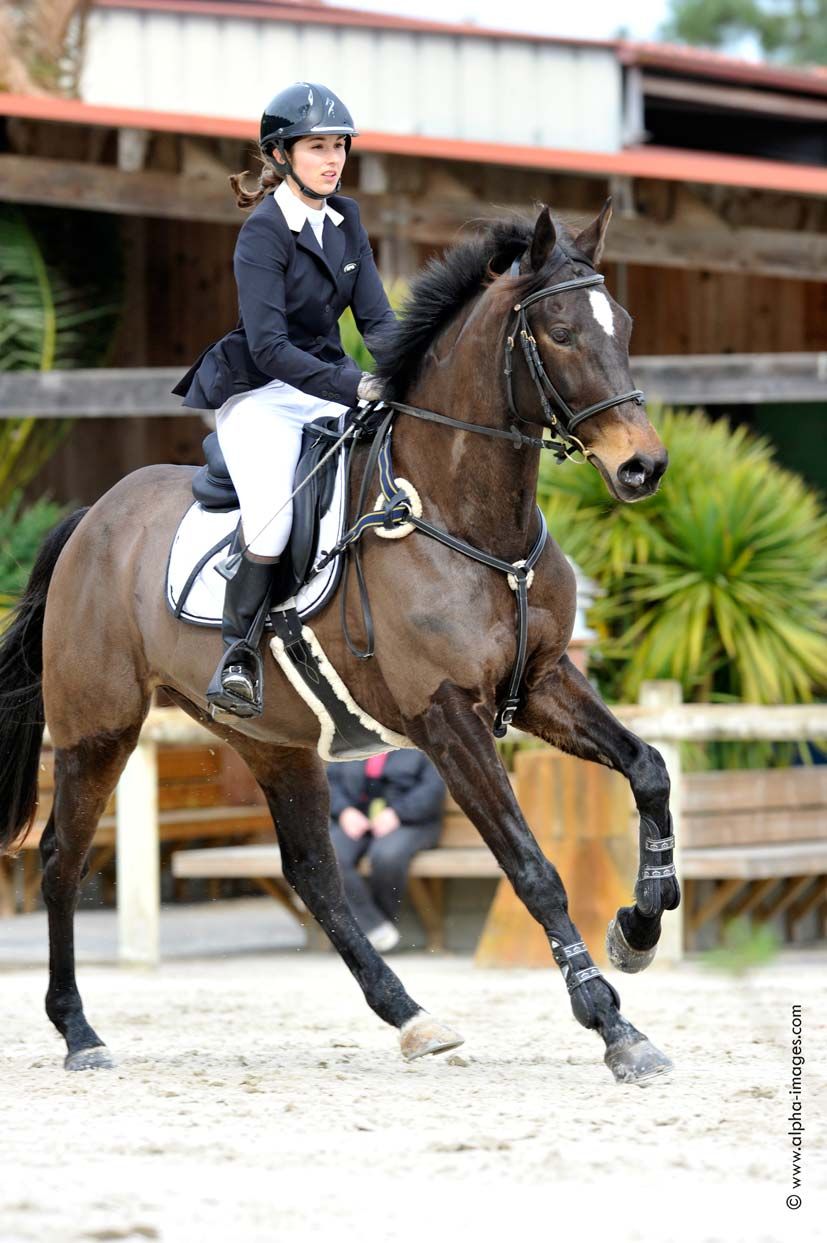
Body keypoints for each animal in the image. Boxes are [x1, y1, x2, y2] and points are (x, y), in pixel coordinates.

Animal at [0, 201, 679, 1085]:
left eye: (622, 324)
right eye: (560, 332)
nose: (643, 467)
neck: (467, 518)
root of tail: (92, 518)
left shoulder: (541, 682)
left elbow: (648, 768)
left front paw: (639, 926)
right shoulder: (447, 718)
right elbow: (531, 866)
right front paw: (611, 1022)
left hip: (272, 740)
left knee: (314, 876)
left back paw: (413, 1016)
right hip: (97, 729)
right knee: (61, 858)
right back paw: (79, 1030)